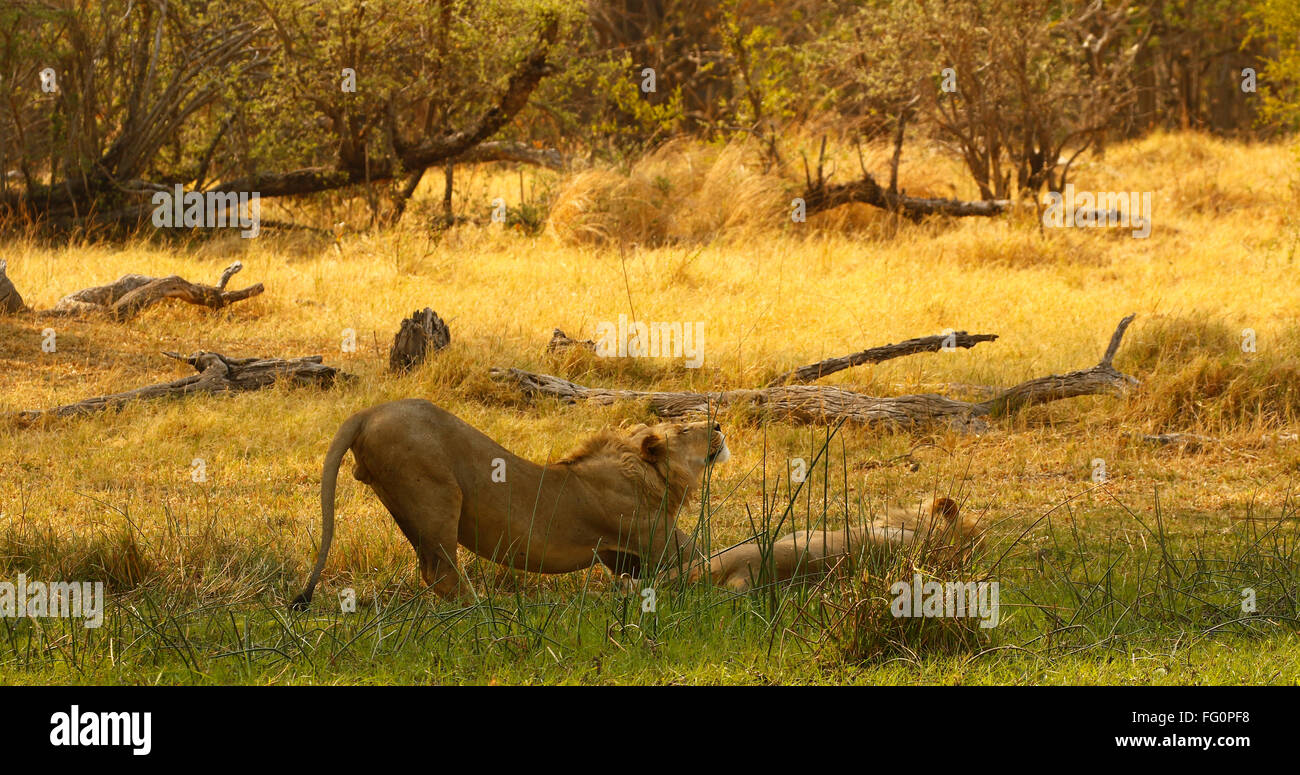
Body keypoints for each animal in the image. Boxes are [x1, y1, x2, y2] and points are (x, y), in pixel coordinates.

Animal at [288, 403, 728, 608]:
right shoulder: (654, 538)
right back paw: (483, 610)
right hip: (437, 495)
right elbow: (702, 559)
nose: (720, 425)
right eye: (685, 428)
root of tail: (368, 412)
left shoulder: (622, 556)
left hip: (409, 507)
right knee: (441, 572)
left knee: (433, 570)